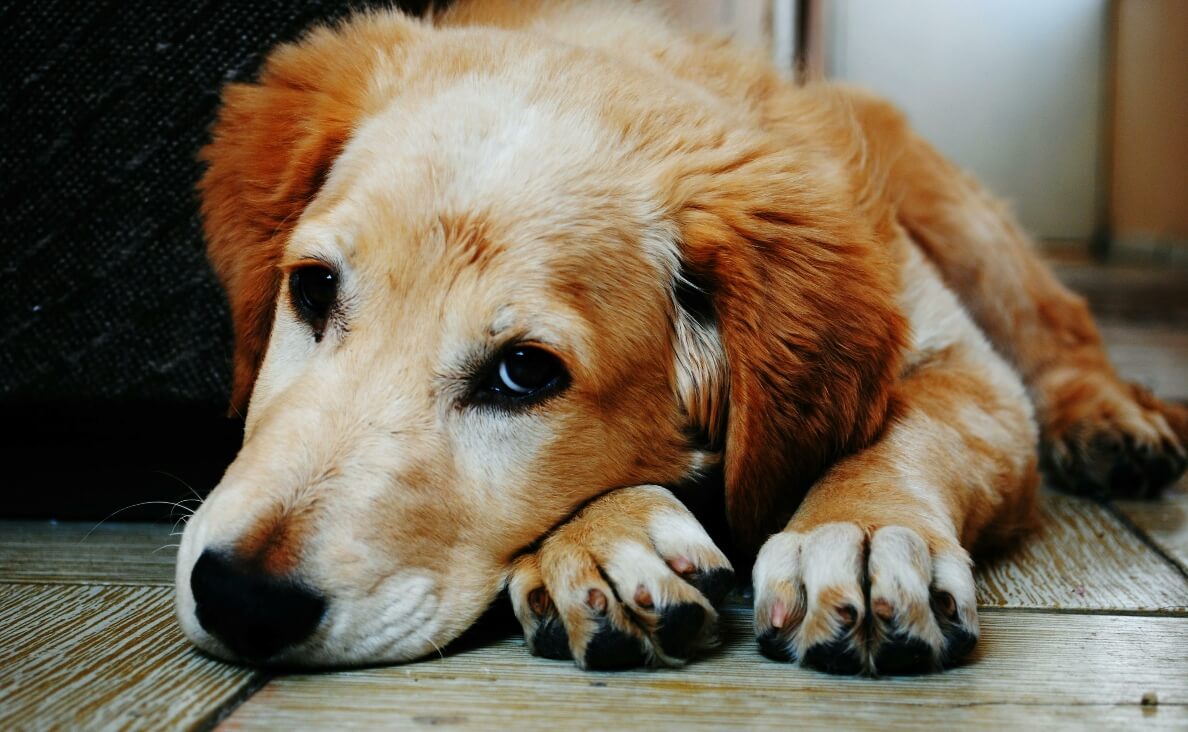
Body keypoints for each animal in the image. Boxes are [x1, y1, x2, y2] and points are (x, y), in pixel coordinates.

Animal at [175, 0, 1188, 674]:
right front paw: (604, 542)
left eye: (524, 372)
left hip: (963, 220)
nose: (239, 598)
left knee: (1063, 332)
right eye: (311, 289)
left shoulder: (967, 369)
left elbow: (912, 430)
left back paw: (1112, 422)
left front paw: (861, 529)